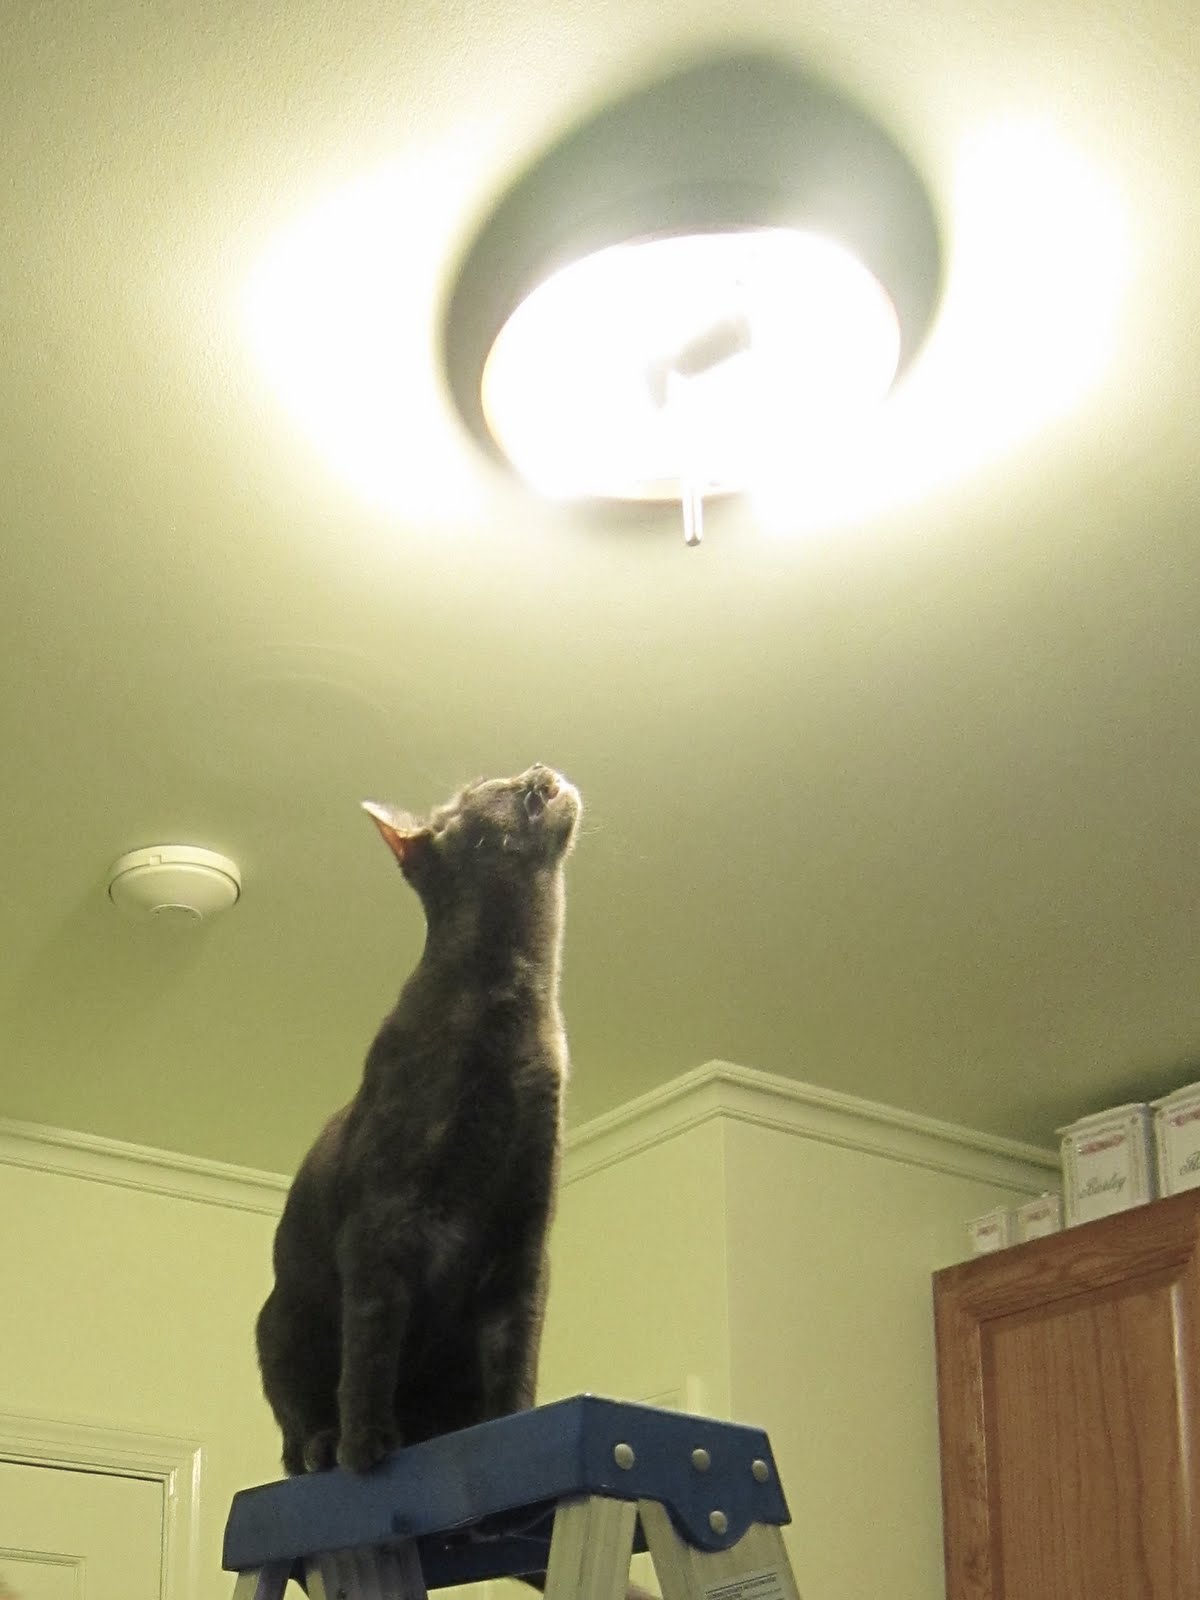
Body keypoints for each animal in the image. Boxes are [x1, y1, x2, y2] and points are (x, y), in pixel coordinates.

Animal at [255, 764, 581, 1477]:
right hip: (280, 1322)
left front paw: (511, 1425)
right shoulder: (381, 1226)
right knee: (294, 1427)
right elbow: (371, 1342)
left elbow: (516, 1354)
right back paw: (325, 1445)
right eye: (494, 784)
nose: (540, 769)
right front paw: (366, 1444)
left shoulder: (523, 1239)